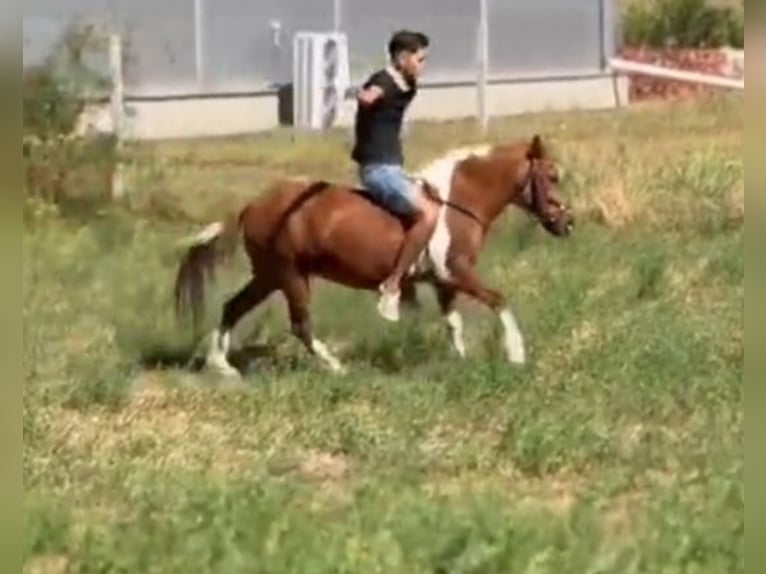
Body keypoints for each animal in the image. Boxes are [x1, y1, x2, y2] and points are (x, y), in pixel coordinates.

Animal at [173, 134, 574, 377]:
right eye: (552, 175)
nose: (567, 222)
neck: (456, 202)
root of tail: (252, 206)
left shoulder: (443, 282)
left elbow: (454, 323)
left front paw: (460, 362)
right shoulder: (456, 273)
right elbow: (500, 301)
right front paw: (517, 354)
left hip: (269, 276)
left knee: (233, 306)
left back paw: (221, 365)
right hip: (291, 277)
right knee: (300, 325)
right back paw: (337, 367)